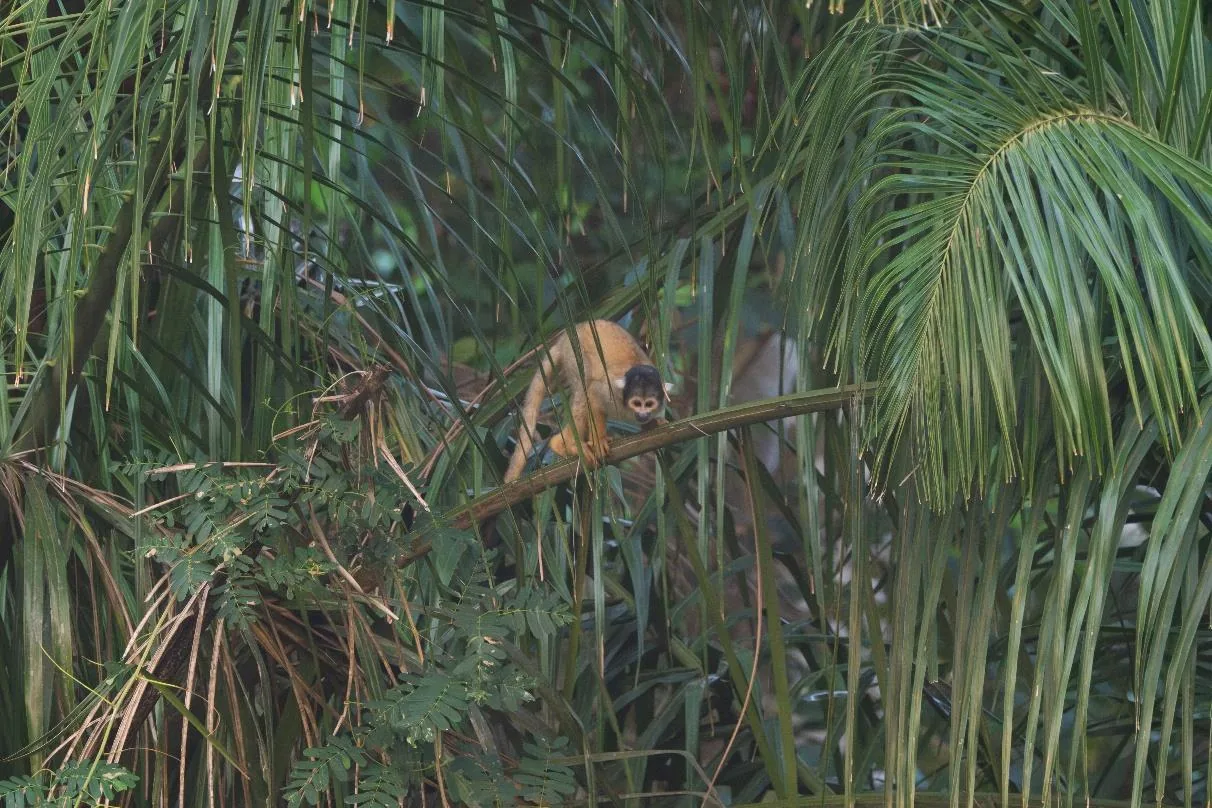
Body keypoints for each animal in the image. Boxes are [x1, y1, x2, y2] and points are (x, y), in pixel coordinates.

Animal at [504, 320, 669, 482]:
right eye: (636, 403)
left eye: (649, 404)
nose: (643, 414)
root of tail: (564, 338)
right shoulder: (612, 394)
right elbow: (593, 394)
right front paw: (599, 440)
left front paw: (652, 424)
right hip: (573, 355)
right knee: (585, 387)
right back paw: (564, 444)